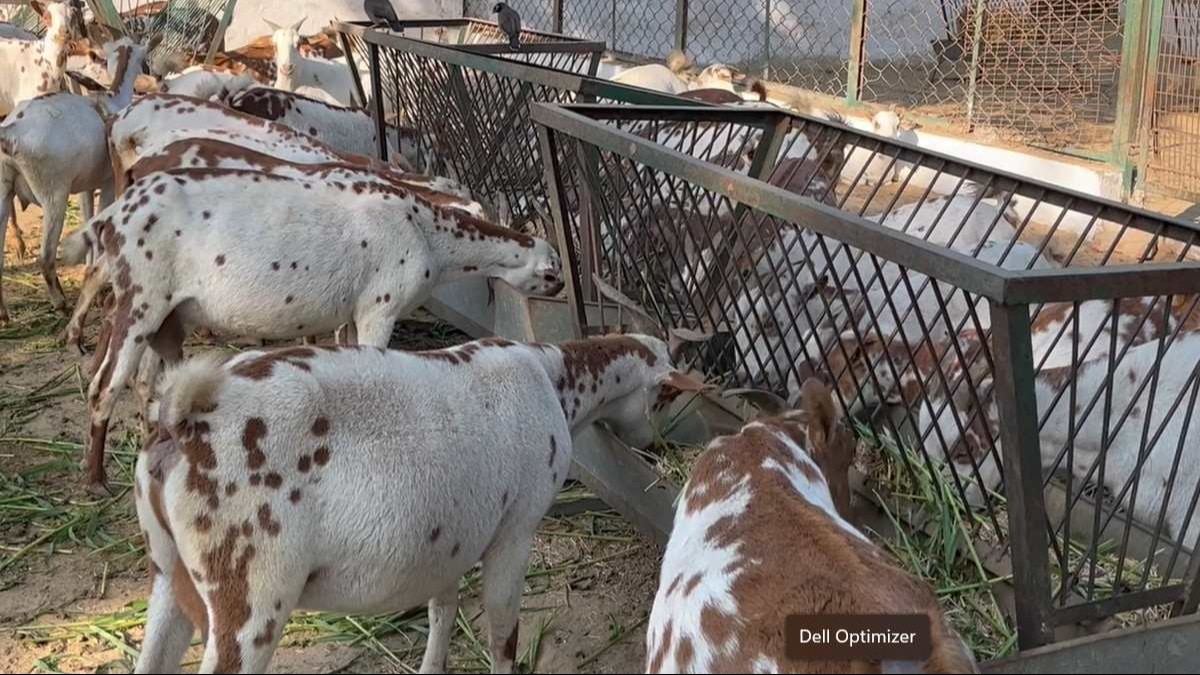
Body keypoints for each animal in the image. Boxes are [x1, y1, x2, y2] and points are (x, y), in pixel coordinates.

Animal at [0, 33, 155, 321]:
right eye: (144, 59)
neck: (112, 98)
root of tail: (11, 132)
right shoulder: (107, 183)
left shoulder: (86, 185)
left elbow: (87, 218)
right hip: (54, 194)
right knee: (46, 256)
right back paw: (60, 303)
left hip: (3, 191)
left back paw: (4, 314)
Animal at [82, 167, 564, 492]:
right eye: (553, 269)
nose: (559, 288)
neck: (428, 232)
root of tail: (112, 217)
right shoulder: (379, 306)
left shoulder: (350, 313)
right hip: (140, 299)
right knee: (104, 385)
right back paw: (96, 479)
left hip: (169, 316)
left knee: (151, 385)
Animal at [132, 333, 704, 673]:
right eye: (667, 395)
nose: (656, 446)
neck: (557, 382)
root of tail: (184, 421)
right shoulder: (515, 530)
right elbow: (503, 632)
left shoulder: (450, 537)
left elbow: (443, 609)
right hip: (250, 592)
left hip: (170, 572)